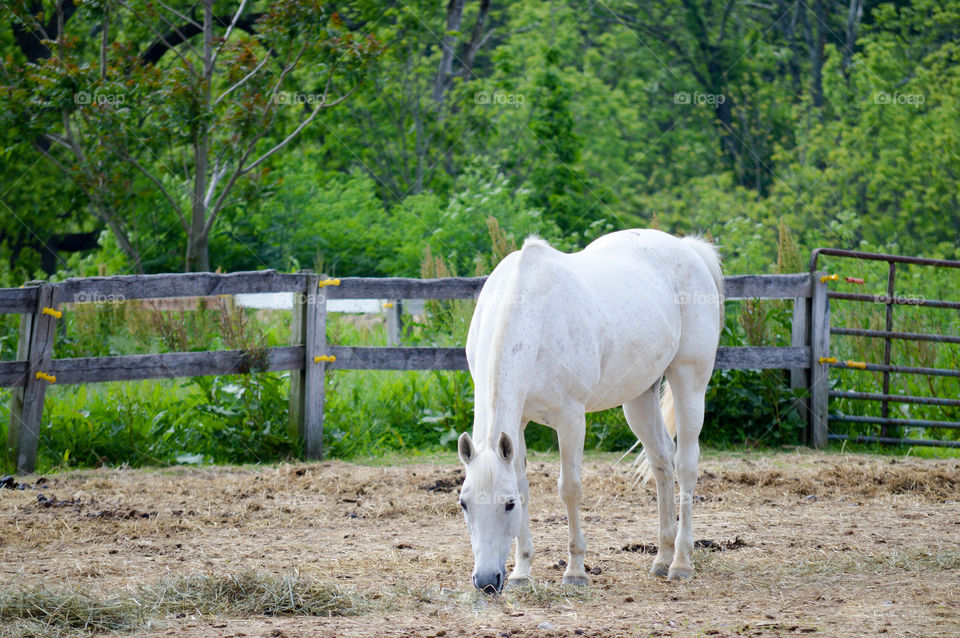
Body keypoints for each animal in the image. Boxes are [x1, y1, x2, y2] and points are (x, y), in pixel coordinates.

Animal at [458, 230, 720, 596]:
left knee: (686, 465)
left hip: (689, 383)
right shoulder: (519, 423)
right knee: (662, 461)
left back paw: (681, 562)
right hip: (638, 397)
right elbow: (524, 484)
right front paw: (522, 572)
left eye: (507, 504)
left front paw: (575, 572)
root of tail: (687, 248)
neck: (533, 312)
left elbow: (569, 488)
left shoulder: (570, 419)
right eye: (464, 503)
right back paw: (662, 557)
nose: (485, 581)